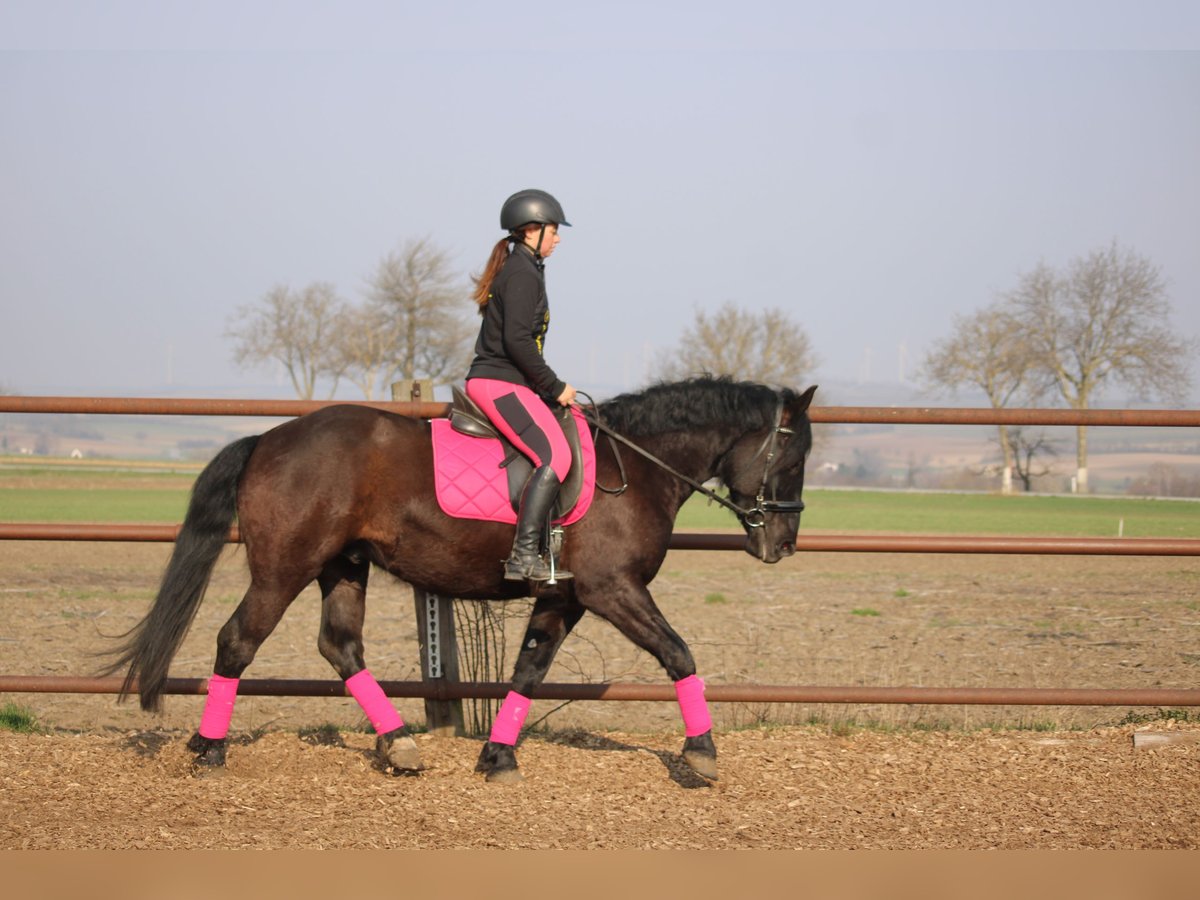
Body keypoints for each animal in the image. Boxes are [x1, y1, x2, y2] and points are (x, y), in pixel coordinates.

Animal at [105, 375, 817, 783]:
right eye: (796, 453)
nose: (783, 544)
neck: (633, 467)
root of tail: (268, 441)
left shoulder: (562, 597)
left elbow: (529, 670)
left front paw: (497, 758)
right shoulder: (612, 590)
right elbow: (679, 654)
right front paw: (701, 754)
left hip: (344, 568)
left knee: (340, 646)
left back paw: (398, 747)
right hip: (284, 569)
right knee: (237, 642)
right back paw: (208, 751)